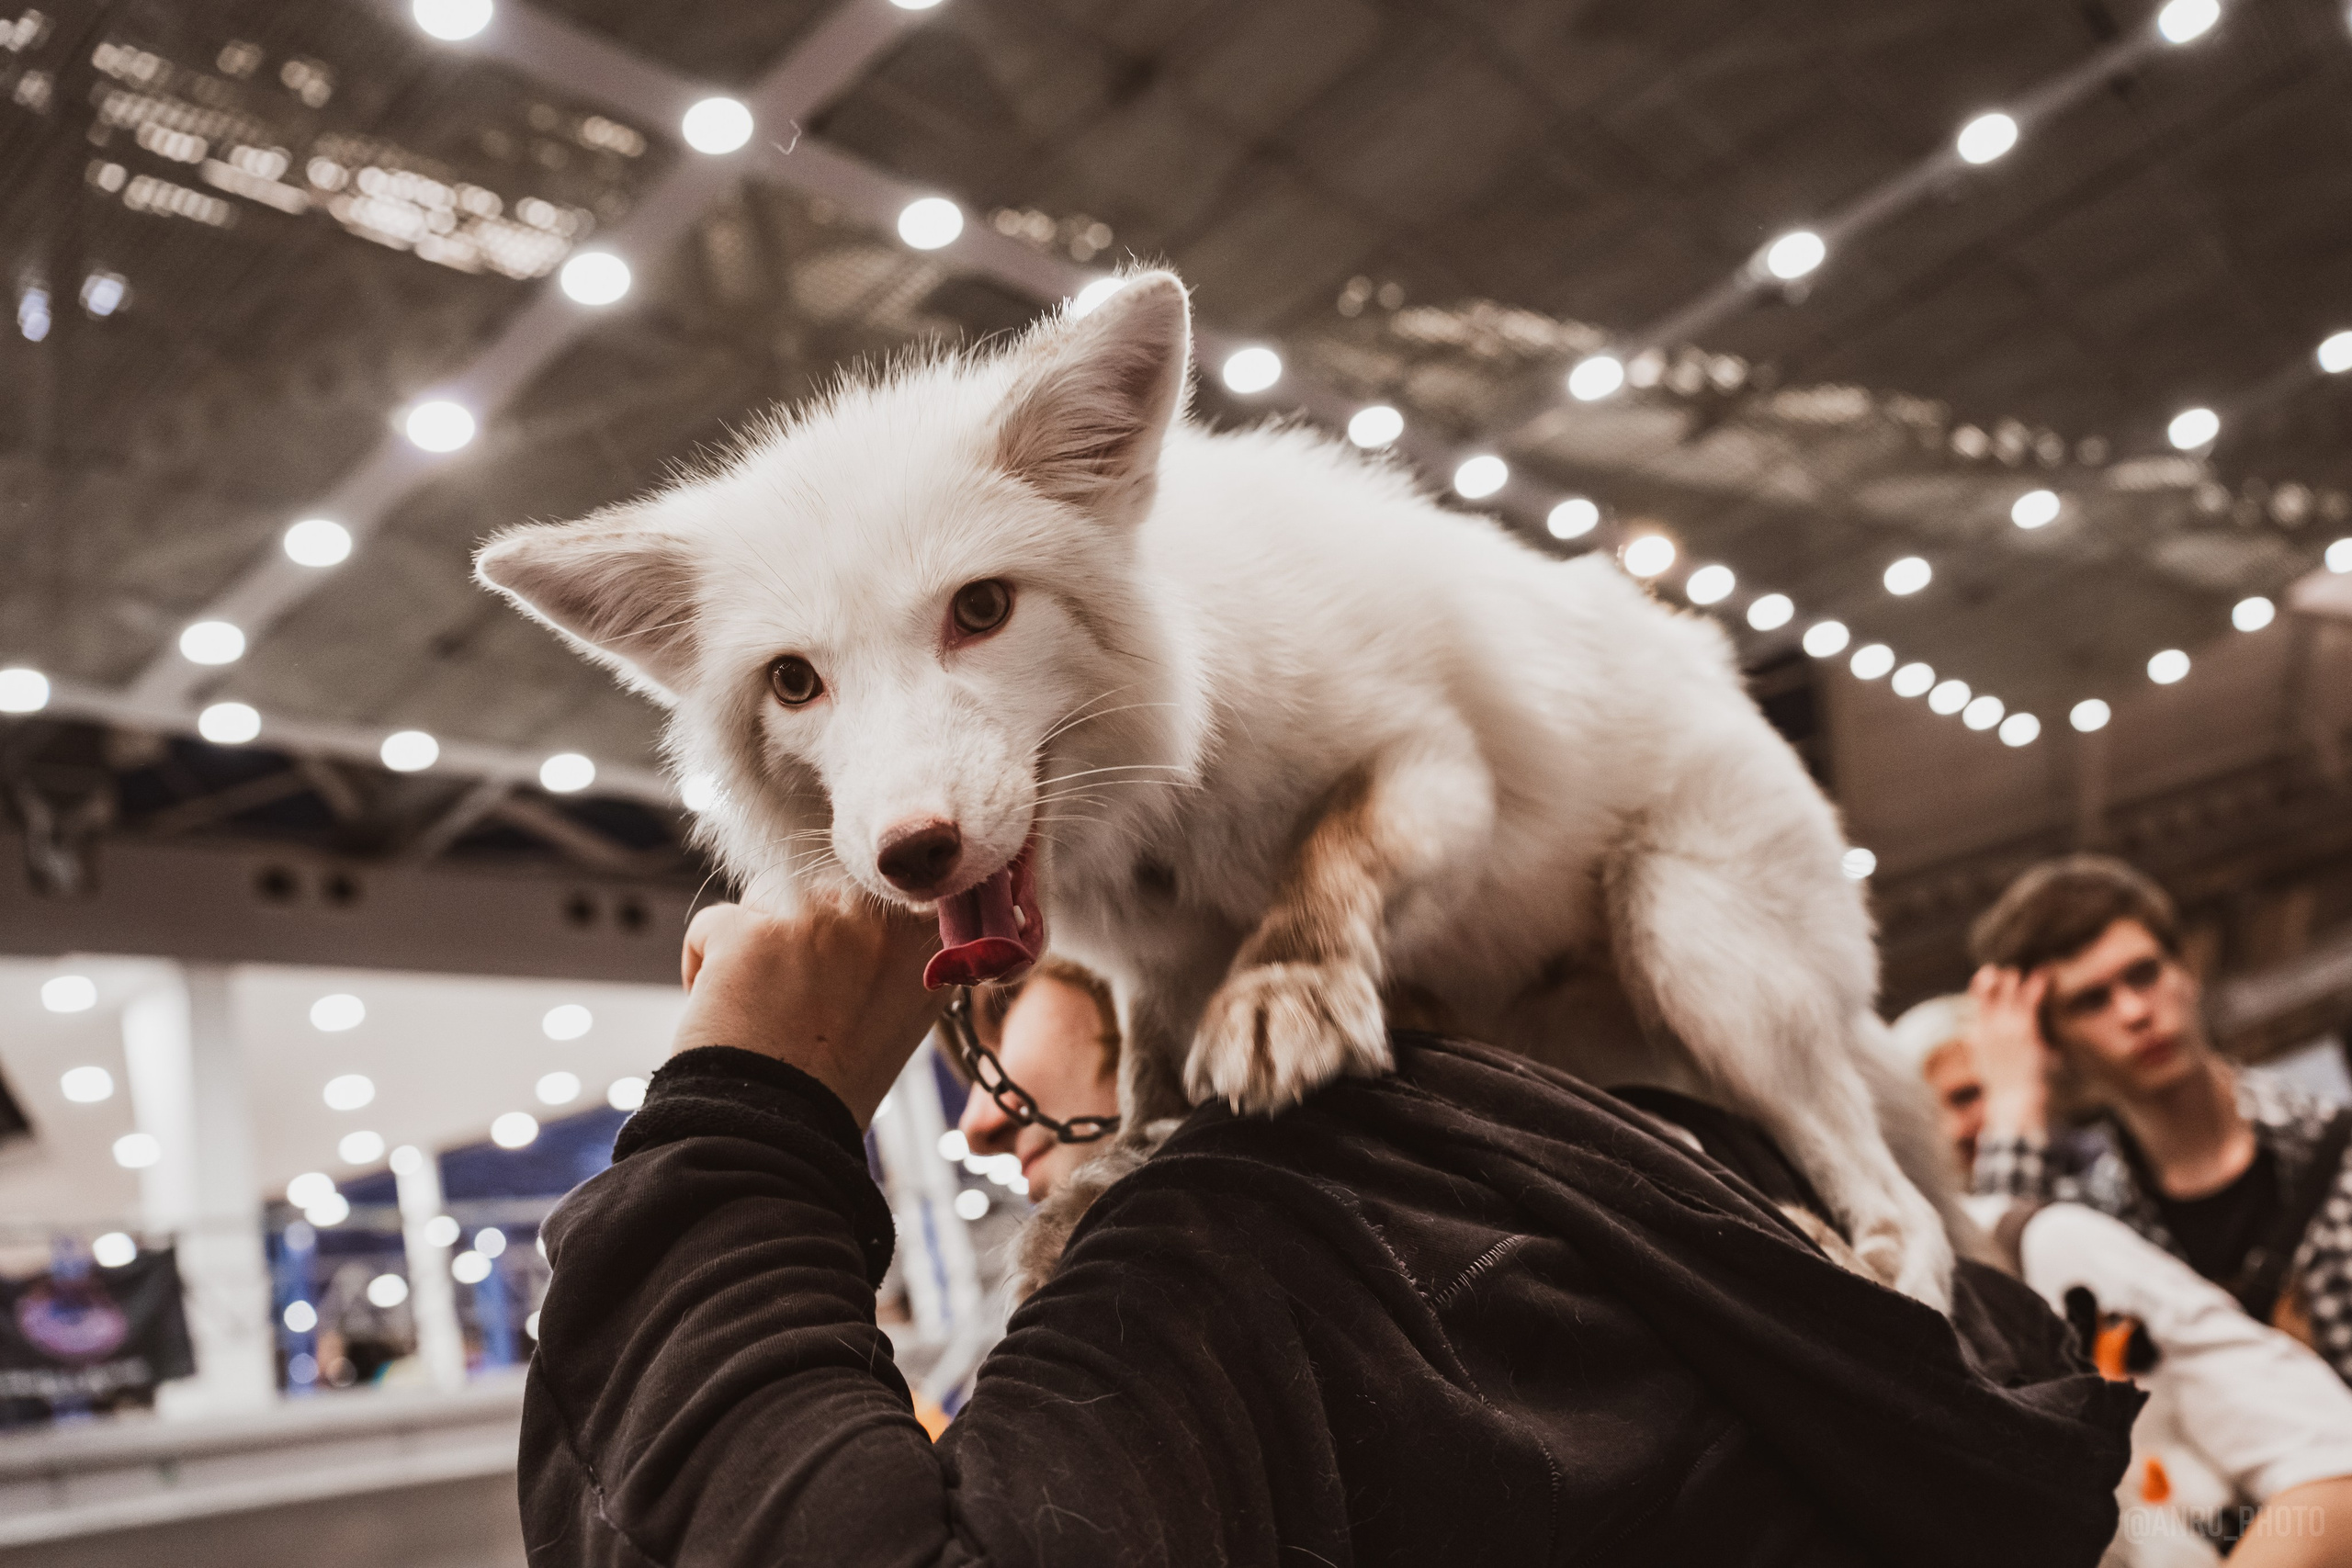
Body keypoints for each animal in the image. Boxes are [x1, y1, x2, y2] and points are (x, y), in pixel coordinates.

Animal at [476, 269, 1961, 1308]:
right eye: (794, 682)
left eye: (980, 609)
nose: (914, 854)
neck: (1171, 808)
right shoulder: (1148, 951)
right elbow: (1144, 1080)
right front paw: (1113, 1173)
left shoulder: (1435, 766)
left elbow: (1334, 858)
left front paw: (1288, 990)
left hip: (1693, 946)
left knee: (1914, 1219)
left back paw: (1866, 1264)